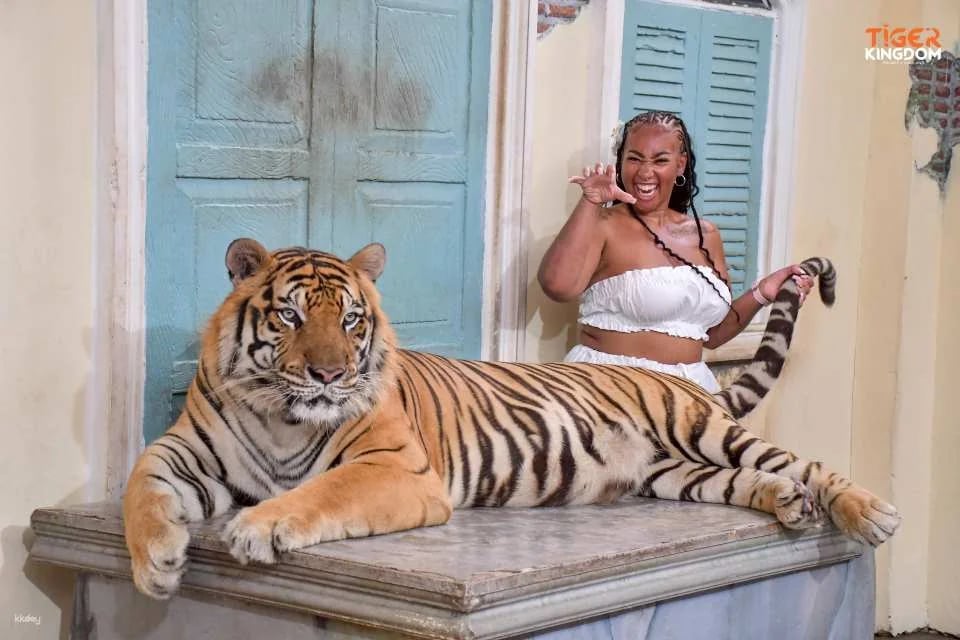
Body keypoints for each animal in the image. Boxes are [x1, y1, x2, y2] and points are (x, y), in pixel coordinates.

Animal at [122, 238, 900, 599]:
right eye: (288, 317)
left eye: (350, 321)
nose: (330, 375)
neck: (282, 415)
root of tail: (680, 381)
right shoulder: (186, 451)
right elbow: (140, 485)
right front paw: (157, 563)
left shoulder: (397, 469)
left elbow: (320, 493)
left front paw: (257, 527)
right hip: (679, 473)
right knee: (751, 481)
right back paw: (788, 504)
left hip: (701, 430)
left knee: (803, 463)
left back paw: (869, 513)